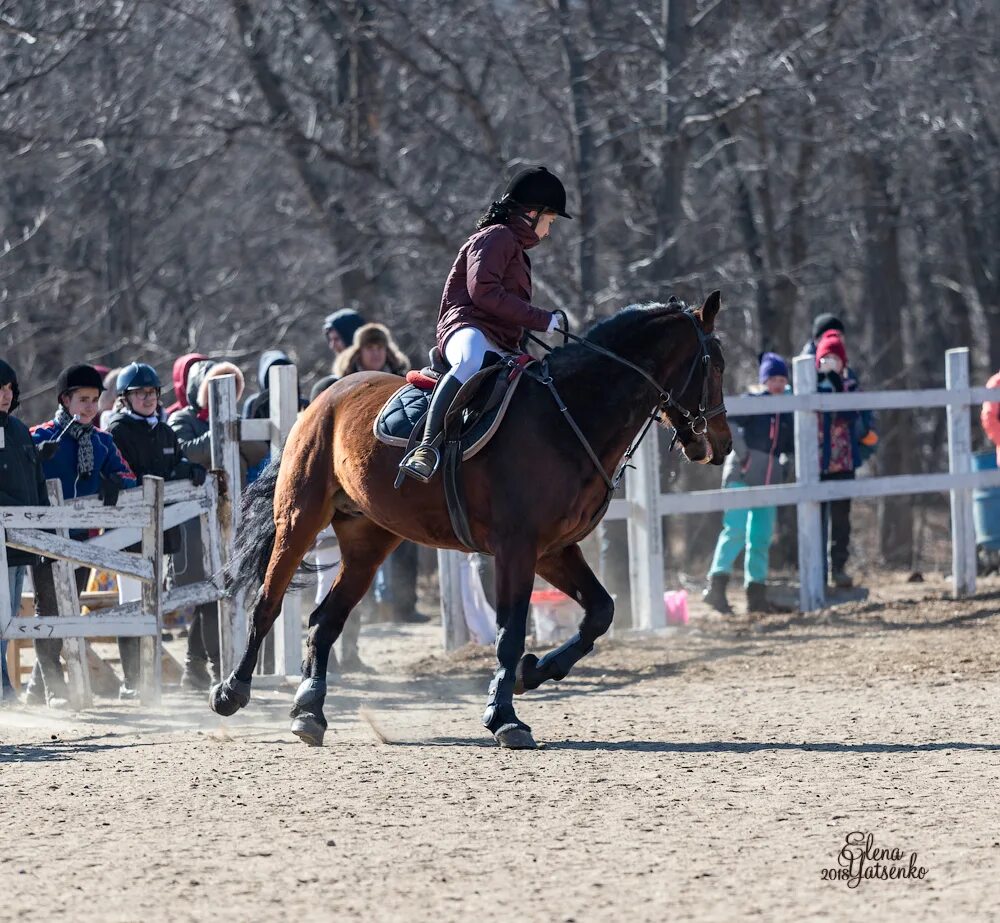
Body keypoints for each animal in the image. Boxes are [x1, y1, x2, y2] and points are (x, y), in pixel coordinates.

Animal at [211, 294, 732, 752]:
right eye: (717, 365)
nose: (722, 444)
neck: (568, 417)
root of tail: (325, 398)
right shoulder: (517, 549)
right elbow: (510, 631)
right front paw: (505, 718)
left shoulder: (552, 550)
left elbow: (600, 612)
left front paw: (530, 673)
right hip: (298, 519)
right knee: (267, 604)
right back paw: (232, 692)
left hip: (368, 542)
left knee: (325, 621)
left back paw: (309, 712)